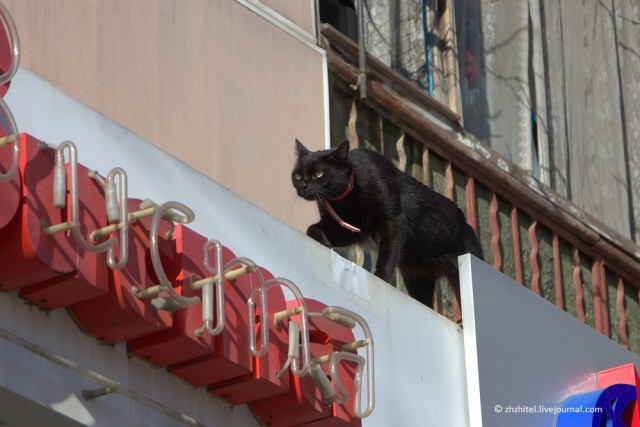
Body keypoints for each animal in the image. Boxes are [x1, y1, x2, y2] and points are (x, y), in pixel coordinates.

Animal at [292, 140, 482, 310]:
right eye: (298, 175)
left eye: (318, 174)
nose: (303, 185)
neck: (344, 200)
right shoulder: (348, 229)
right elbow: (312, 228)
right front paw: (323, 242)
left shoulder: (393, 221)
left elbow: (387, 254)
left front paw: (380, 279)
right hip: (417, 279)